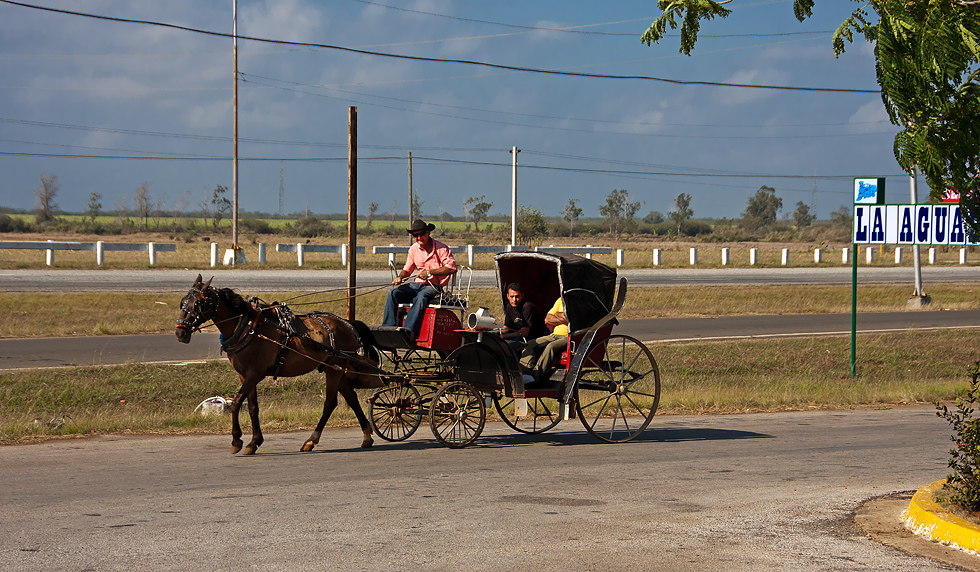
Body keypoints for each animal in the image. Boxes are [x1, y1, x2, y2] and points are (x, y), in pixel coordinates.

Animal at [175, 274, 378, 454]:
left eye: (198, 304)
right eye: (182, 301)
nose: (180, 332)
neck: (248, 329)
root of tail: (348, 324)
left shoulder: (255, 373)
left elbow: (237, 402)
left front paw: (237, 440)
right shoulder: (244, 374)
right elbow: (253, 407)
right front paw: (254, 442)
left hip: (334, 369)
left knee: (330, 403)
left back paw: (311, 440)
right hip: (335, 368)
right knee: (351, 398)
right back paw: (366, 436)